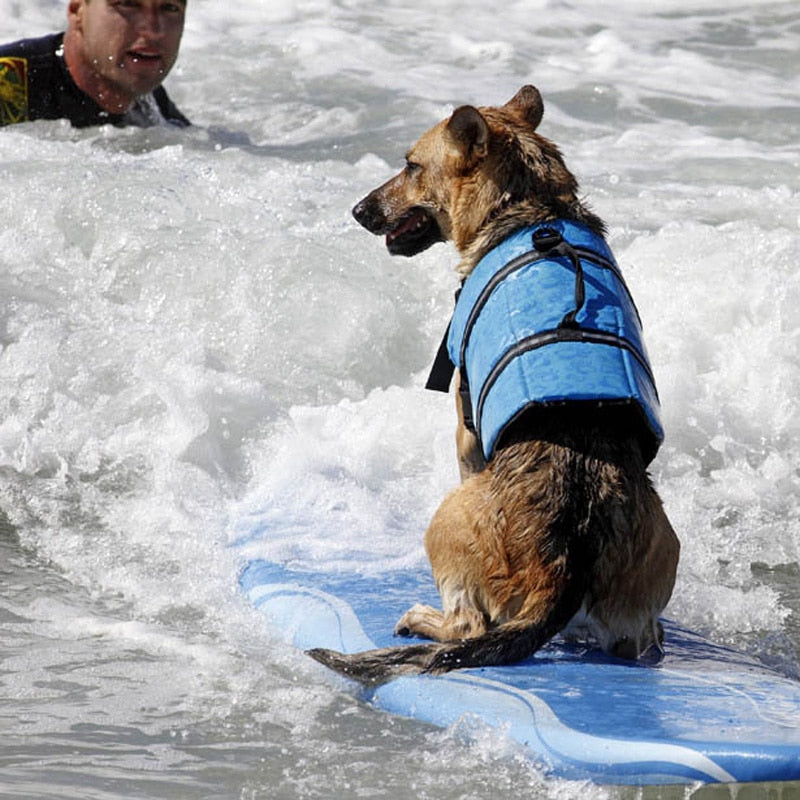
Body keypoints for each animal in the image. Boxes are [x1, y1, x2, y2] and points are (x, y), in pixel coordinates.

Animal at [310, 87, 680, 688]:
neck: (532, 210)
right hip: (651, 575)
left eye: (411, 166)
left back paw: (423, 617)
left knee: (468, 627)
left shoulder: (464, 430)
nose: (358, 210)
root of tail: (567, 561)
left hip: (446, 518)